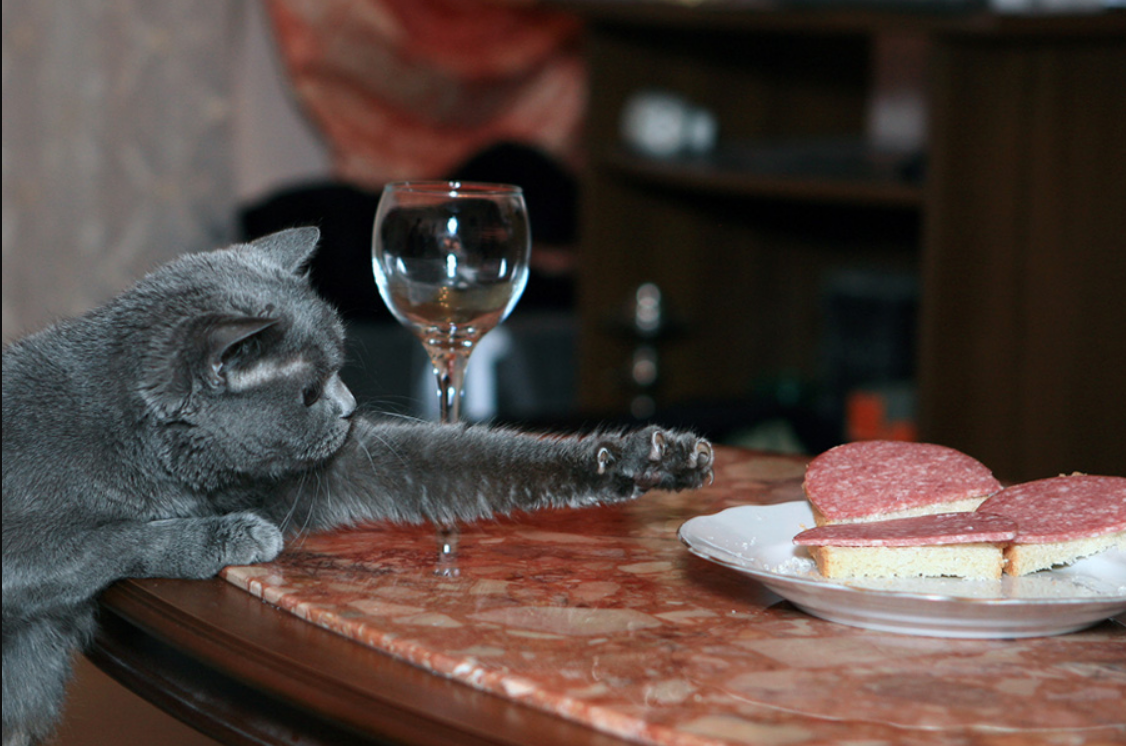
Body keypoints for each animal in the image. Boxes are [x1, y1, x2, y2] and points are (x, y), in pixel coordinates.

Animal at [1, 227, 712, 745]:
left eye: (340, 368)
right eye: (309, 391)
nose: (347, 410)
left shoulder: (329, 470)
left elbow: (467, 457)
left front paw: (643, 457)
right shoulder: (21, 550)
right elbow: (108, 540)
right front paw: (227, 536)